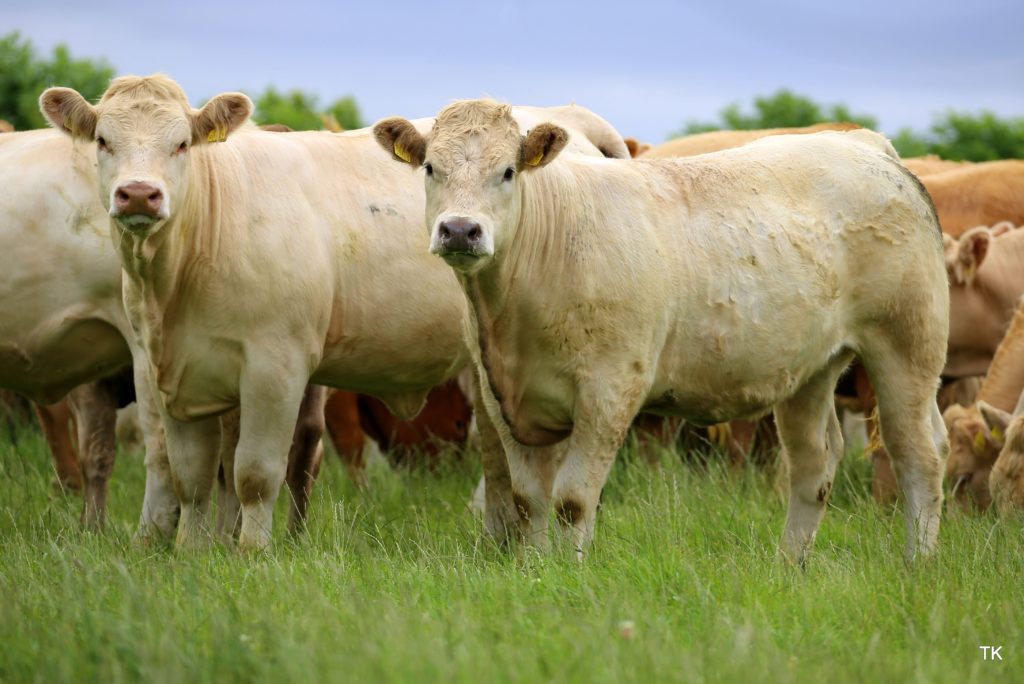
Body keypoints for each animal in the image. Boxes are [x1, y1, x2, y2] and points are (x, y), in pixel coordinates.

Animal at [39, 75, 628, 550]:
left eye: (181, 143)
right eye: (102, 141)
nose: (140, 195)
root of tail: (574, 118)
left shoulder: (275, 369)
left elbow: (254, 473)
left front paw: (251, 555)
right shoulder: (171, 373)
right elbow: (192, 477)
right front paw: (190, 554)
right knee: (497, 456)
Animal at [375, 99, 949, 563]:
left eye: (509, 171)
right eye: (431, 167)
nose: (460, 230)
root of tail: (863, 144)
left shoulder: (610, 389)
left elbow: (572, 501)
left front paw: (569, 575)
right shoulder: (503, 400)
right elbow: (527, 500)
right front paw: (535, 571)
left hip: (908, 342)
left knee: (918, 452)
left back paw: (918, 562)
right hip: (810, 368)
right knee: (815, 464)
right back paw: (789, 566)